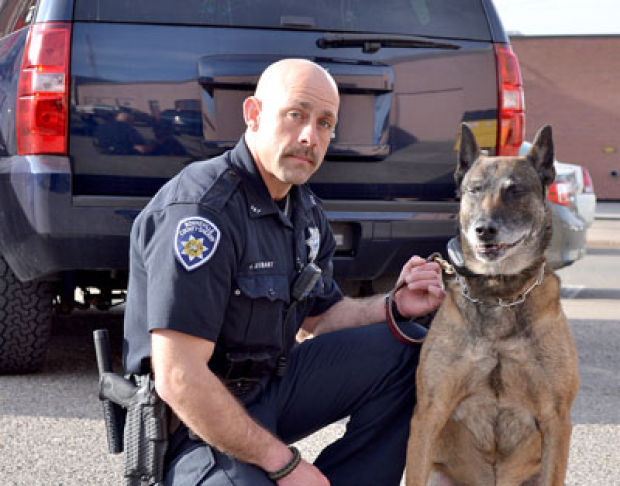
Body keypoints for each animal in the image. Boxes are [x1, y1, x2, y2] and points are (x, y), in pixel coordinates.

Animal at [406, 124, 580, 486]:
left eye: (515, 191)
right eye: (474, 189)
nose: (484, 229)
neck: (499, 294)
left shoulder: (557, 420)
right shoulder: (429, 413)